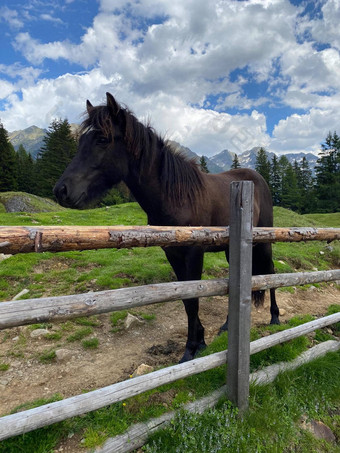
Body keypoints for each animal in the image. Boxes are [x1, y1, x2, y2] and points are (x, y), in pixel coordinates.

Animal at [54, 93, 278, 362]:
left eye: (102, 139)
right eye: (81, 141)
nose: (61, 191)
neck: (177, 196)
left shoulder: (194, 253)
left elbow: (193, 298)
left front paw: (192, 348)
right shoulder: (172, 254)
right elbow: (185, 299)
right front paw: (198, 341)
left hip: (264, 240)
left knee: (271, 271)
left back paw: (275, 317)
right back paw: (226, 326)